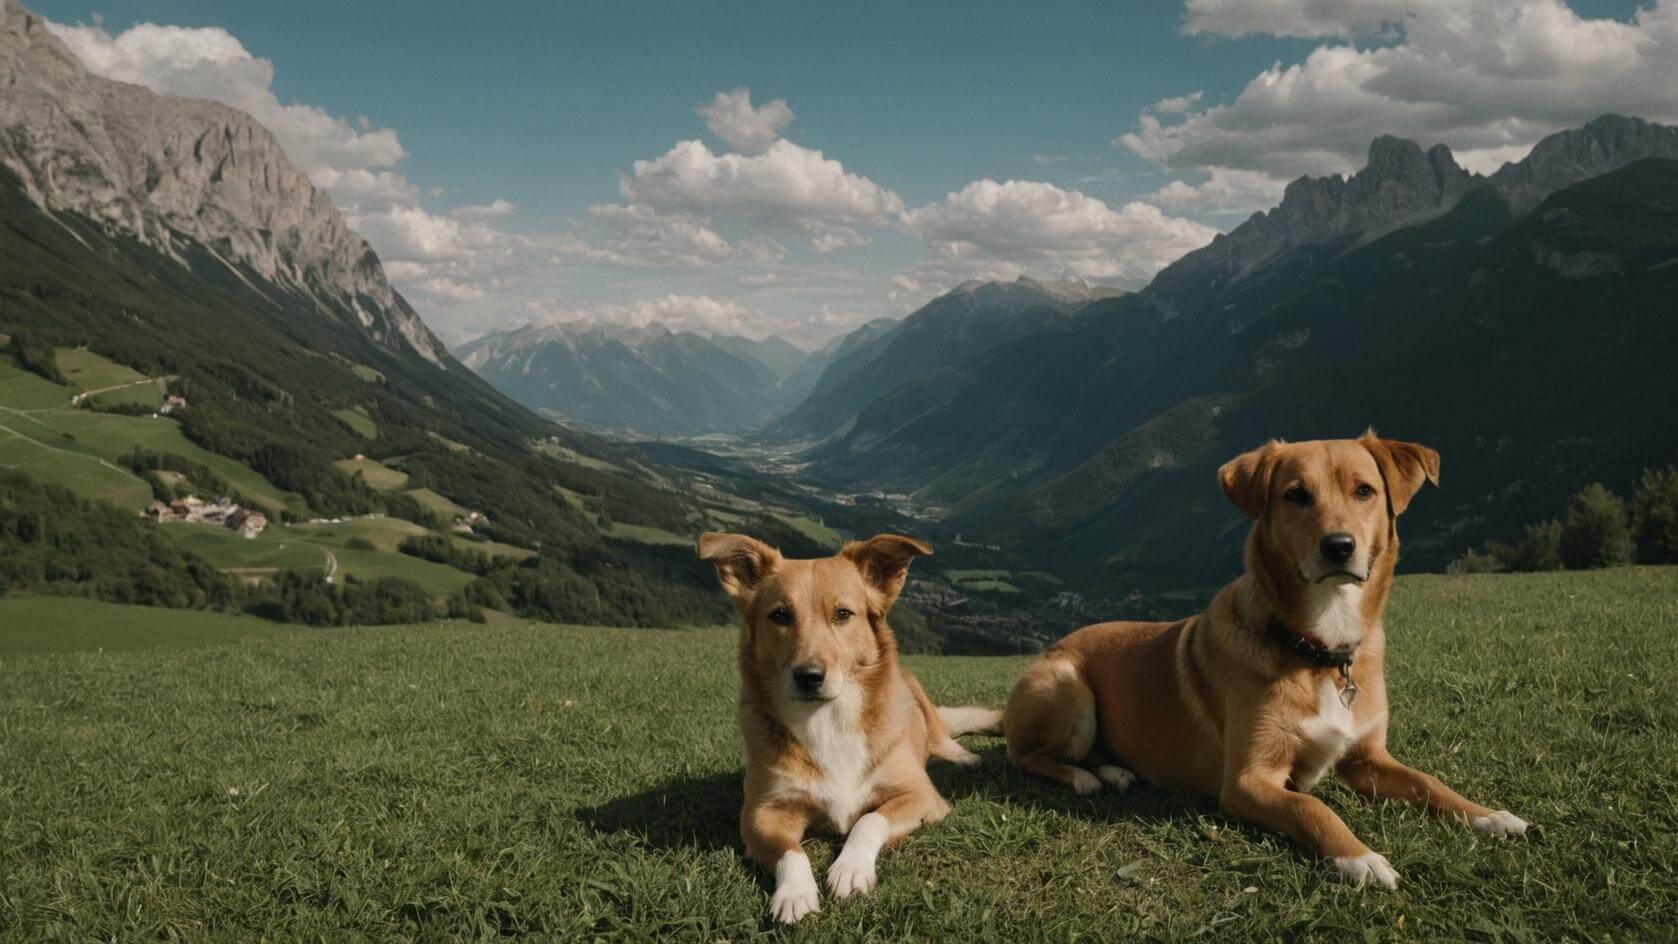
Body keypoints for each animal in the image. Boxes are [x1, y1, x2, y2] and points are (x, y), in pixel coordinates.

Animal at [701, 533, 1000, 925]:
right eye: (780, 615)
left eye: (843, 614)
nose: (809, 677)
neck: (827, 719)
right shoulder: (760, 814)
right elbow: (791, 851)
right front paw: (795, 893)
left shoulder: (922, 796)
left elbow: (870, 819)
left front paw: (850, 868)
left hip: (916, 690)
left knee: (940, 736)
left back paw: (964, 757)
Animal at [1000, 432, 1530, 892]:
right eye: (1296, 495)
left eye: (1364, 490)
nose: (1339, 546)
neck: (1319, 650)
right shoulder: (1247, 781)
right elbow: (1312, 808)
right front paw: (1359, 857)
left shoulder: (1367, 759)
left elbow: (1429, 781)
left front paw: (1488, 815)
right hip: (1069, 689)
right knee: (1027, 757)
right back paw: (1085, 778)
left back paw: (1114, 771)